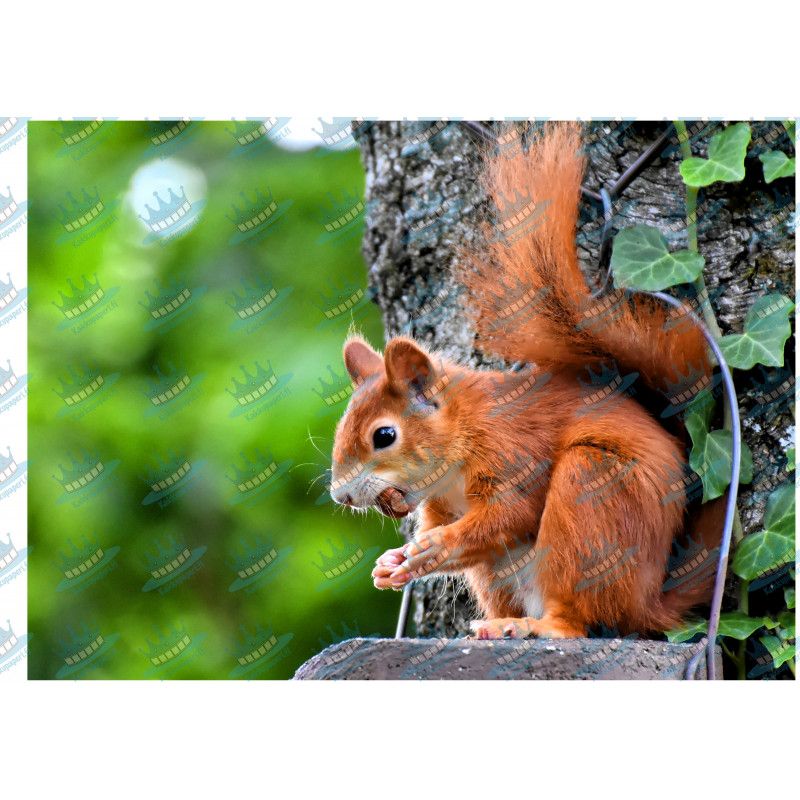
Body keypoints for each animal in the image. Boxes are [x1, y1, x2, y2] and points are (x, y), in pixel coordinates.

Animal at [324, 122, 724, 640]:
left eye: (384, 435)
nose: (342, 496)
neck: (460, 446)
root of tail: (649, 605)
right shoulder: (439, 504)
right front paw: (391, 563)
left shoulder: (514, 448)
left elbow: (512, 514)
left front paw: (437, 545)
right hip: (499, 574)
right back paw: (496, 625)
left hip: (594, 496)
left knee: (577, 621)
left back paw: (536, 627)